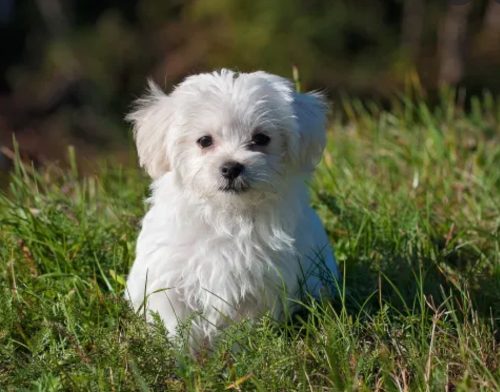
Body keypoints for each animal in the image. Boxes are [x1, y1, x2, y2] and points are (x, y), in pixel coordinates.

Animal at [124, 69, 340, 348]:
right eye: (204, 141)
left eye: (261, 139)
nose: (231, 167)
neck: (226, 214)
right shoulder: (169, 278)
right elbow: (175, 323)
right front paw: (182, 353)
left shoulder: (259, 284)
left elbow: (243, 326)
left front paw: (237, 350)